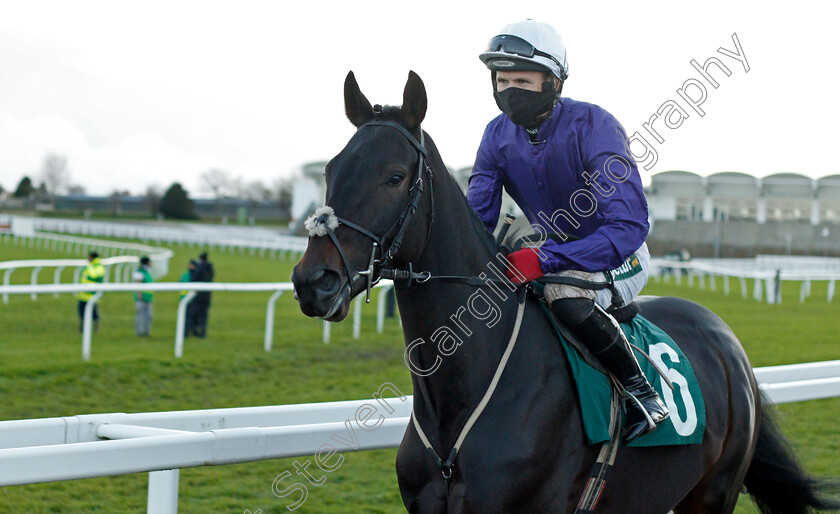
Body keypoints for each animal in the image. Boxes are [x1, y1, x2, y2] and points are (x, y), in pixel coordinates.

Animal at [288, 70, 832, 510]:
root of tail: (727, 340)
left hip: (714, 490)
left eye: (395, 177)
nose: (314, 281)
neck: (456, 402)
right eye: (330, 170)